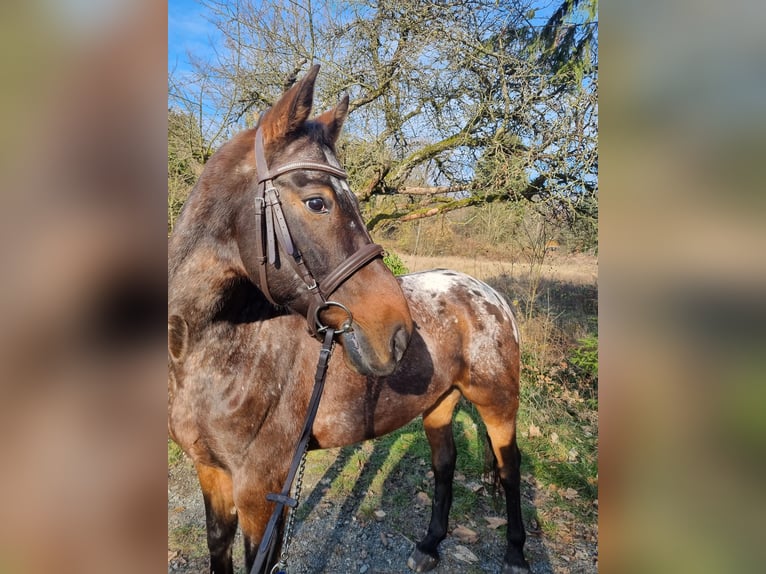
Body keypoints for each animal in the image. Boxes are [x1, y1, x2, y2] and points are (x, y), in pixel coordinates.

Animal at [168, 65, 530, 574]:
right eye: (318, 202)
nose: (397, 333)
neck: (211, 353)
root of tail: (490, 294)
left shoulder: (262, 491)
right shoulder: (212, 473)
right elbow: (218, 546)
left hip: (497, 402)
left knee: (510, 466)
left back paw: (516, 552)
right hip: (440, 403)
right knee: (445, 464)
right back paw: (429, 544)